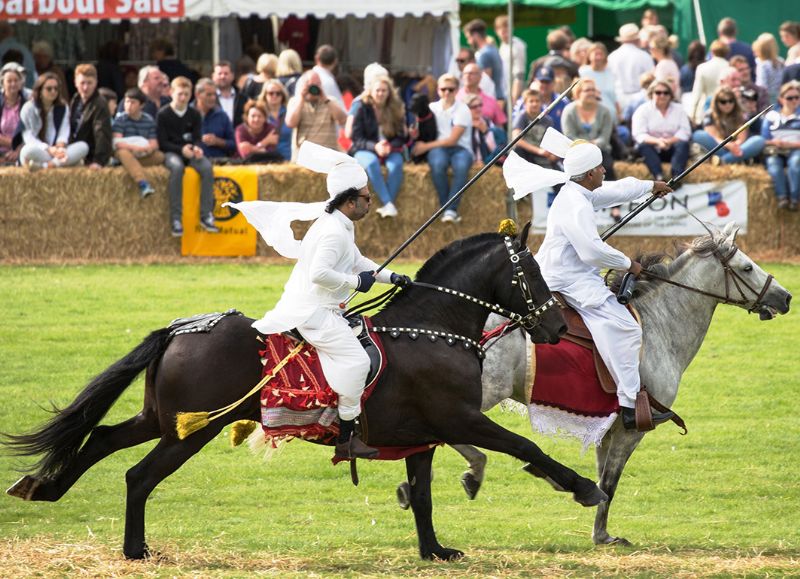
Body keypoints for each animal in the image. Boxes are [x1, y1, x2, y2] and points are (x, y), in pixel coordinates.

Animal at [3, 227, 608, 560]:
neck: (430, 327)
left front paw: (435, 550)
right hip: (192, 431)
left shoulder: (424, 437)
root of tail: (179, 329)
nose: (557, 326)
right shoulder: (460, 420)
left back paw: (43, 487)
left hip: (163, 419)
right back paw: (135, 549)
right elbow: (526, 447)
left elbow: (423, 494)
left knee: (103, 437)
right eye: (530, 271)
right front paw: (583, 488)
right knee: (137, 475)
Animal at [396, 224, 792, 548]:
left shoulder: (609, 427)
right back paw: (472, 470)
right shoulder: (632, 429)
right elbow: (610, 483)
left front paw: (593, 521)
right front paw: (599, 531)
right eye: (747, 267)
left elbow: (603, 477)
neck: (660, 323)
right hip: (474, 396)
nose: (786, 297)